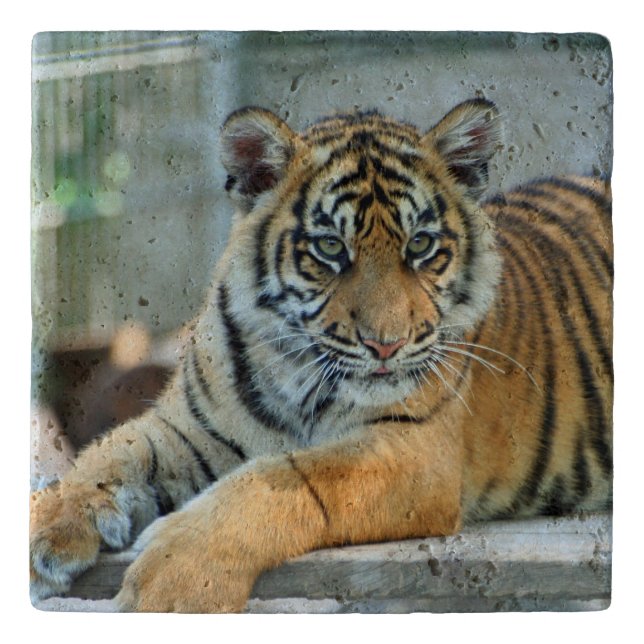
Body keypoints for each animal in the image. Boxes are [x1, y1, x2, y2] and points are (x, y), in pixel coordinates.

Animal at [30, 98, 613, 612]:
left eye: (420, 245)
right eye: (330, 248)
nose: (386, 343)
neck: (293, 368)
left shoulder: (415, 451)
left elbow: (286, 480)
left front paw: (174, 583)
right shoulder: (188, 429)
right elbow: (108, 455)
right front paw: (44, 526)